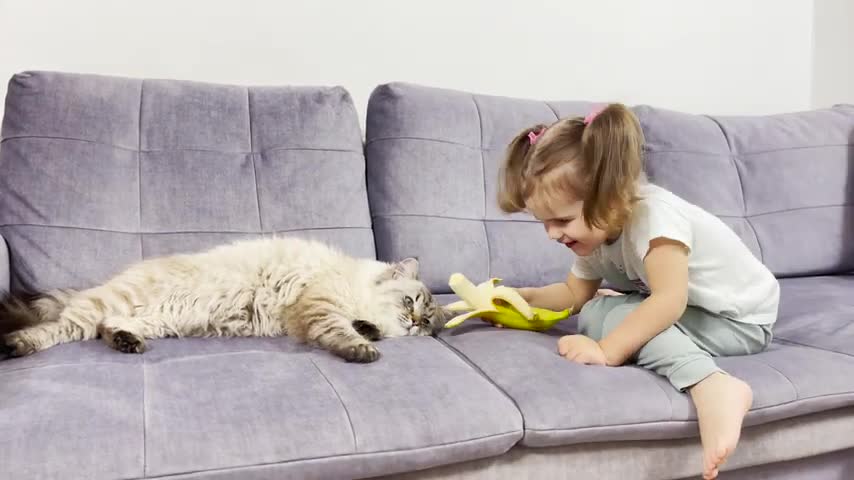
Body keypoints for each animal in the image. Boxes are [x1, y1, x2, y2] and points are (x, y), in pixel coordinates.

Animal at [0, 234, 452, 362]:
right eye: (411, 303)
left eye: (429, 322)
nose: (416, 323)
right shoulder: (318, 305)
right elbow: (340, 332)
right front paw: (362, 347)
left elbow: (361, 326)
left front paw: (369, 331)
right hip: (108, 307)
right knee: (60, 328)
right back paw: (15, 345)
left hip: (156, 321)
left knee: (105, 328)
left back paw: (127, 343)